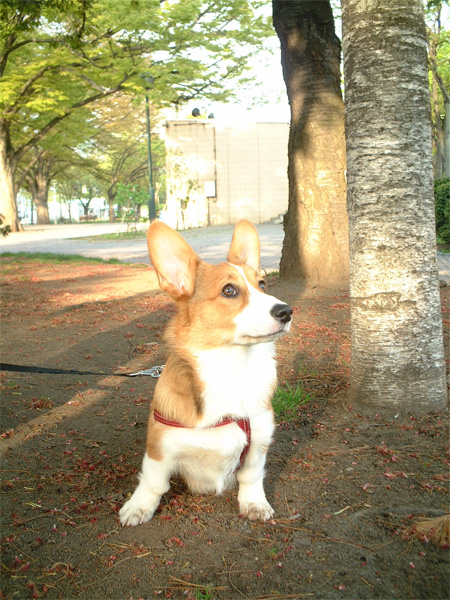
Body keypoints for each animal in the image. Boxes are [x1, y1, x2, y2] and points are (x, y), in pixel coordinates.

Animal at [119, 220, 292, 526]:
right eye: (229, 291)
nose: (287, 311)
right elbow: (153, 483)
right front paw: (138, 507)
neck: (231, 369)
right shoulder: (159, 448)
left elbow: (252, 477)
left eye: (262, 284)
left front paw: (254, 503)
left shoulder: (258, 443)